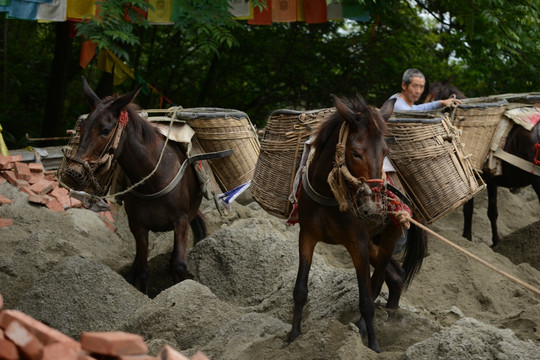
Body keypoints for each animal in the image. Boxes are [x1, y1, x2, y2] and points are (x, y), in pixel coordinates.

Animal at [62, 78, 207, 292]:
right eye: (83, 127)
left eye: (106, 130)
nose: (73, 172)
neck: (153, 180)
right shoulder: (137, 225)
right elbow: (142, 269)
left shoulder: (180, 220)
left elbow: (178, 265)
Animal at [288, 94, 428, 352]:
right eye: (355, 152)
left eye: (385, 151)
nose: (373, 207)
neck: (330, 196)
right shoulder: (307, 236)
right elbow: (300, 289)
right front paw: (293, 336)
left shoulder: (358, 243)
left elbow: (366, 299)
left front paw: (373, 345)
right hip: (375, 242)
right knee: (397, 275)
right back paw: (391, 313)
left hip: (388, 237)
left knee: (379, 279)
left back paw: (366, 327)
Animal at [428, 82, 536, 246]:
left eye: (433, 99)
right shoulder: (492, 181)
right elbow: (492, 211)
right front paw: (496, 242)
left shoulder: (473, 179)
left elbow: (468, 210)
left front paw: (467, 238)